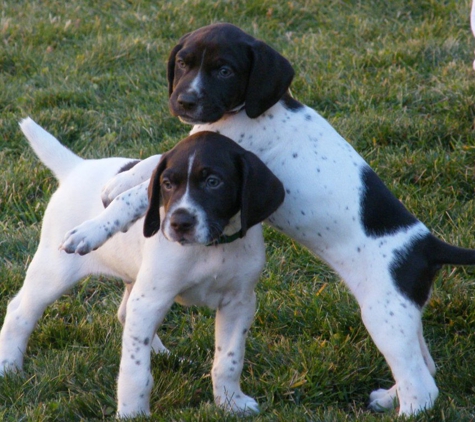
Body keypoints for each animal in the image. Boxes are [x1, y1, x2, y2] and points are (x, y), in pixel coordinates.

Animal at [0, 117, 284, 418]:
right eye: (167, 184)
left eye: (213, 182)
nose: (179, 223)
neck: (212, 247)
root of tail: (77, 167)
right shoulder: (151, 299)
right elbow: (135, 370)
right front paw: (132, 412)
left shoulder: (239, 303)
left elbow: (229, 360)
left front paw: (231, 402)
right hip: (55, 273)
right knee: (19, 313)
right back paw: (9, 367)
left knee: (126, 316)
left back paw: (163, 354)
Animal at [72, 23, 475, 416]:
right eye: (183, 63)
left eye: (224, 70)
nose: (185, 101)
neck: (243, 112)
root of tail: (428, 245)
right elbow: (157, 162)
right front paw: (121, 178)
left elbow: (144, 187)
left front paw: (92, 228)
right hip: (402, 313)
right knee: (424, 366)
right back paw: (389, 397)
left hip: (383, 315)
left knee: (422, 387)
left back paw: (403, 407)